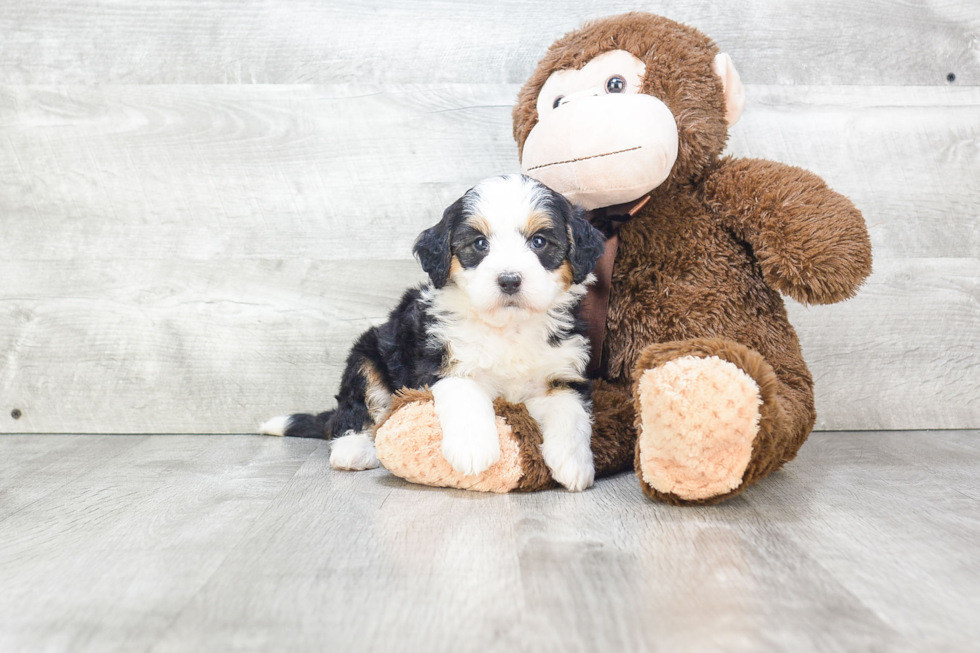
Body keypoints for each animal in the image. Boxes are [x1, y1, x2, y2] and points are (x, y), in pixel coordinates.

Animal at [264, 173, 608, 488]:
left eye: (539, 242)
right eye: (479, 244)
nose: (509, 280)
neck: (506, 327)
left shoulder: (562, 369)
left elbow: (570, 410)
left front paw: (574, 465)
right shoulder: (441, 360)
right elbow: (466, 393)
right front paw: (474, 449)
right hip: (366, 354)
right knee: (356, 407)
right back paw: (353, 449)